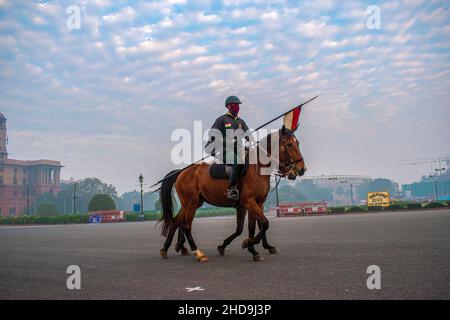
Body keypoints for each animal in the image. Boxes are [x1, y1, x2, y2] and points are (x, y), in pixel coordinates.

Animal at [159, 126, 306, 262]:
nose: (301, 169)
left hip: (193, 203)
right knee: (186, 225)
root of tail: (181, 172)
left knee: (176, 221)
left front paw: (255, 247)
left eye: (298, 143)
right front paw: (248, 244)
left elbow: (251, 227)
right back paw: (198, 253)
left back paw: (166, 249)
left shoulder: (257, 203)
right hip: (191, 203)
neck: (257, 167)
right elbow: (263, 224)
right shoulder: (249, 202)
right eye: (289, 144)